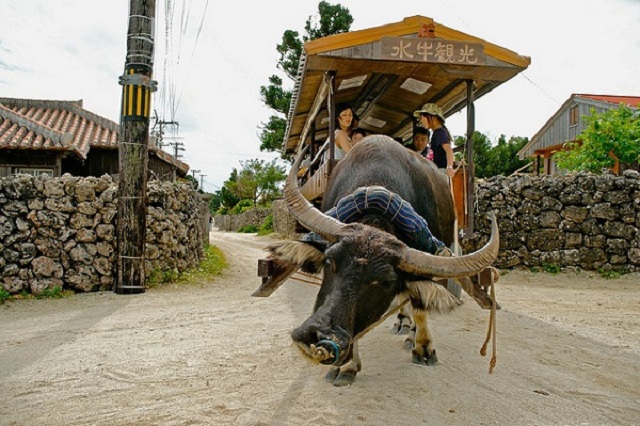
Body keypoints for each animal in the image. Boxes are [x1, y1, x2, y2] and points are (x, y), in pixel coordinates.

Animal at [252, 135, 498, 388]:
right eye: (330, 261)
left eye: (384, 282)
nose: (317, 336)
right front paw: (347, 366)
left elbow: (420, 307)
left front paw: (423, 348)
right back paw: (401, 323)